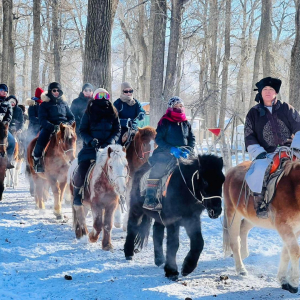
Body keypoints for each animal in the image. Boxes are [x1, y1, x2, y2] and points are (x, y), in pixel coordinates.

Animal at [224, 158, 300, 294]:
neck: (292, 189)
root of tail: (232, 170)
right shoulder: (284, 227)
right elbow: (295, 252)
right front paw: (293, 284)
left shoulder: (295, 229)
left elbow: (286, 252)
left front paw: (283, 279)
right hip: (233, 213)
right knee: (234, 242)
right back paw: (240, 269)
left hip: (252, 218)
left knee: (243, 228)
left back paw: (243, 253)